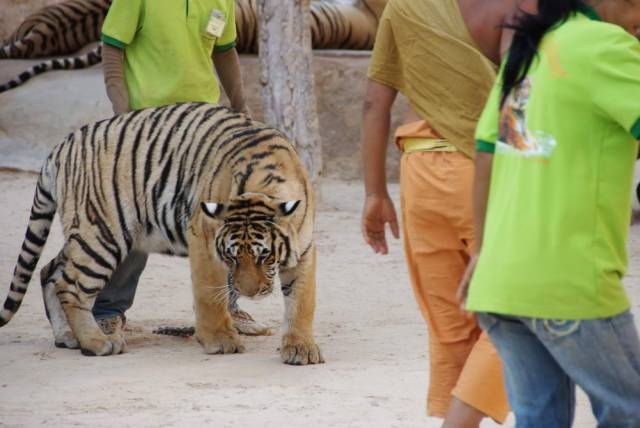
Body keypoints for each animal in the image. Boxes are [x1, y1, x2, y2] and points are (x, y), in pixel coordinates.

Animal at [0, 103, 322, 364]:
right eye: (231, 258)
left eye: (264, 256)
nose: (249, 293)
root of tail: (61, 146)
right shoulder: (203, 238)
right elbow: (209, 293)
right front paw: (220, 340)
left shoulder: (304, 247)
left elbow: (301, 301)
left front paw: (301, 348)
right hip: (101, 235)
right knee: (70, 285)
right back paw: (97, 342)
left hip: (84, 233)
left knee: (49, 271)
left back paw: (66, 336)